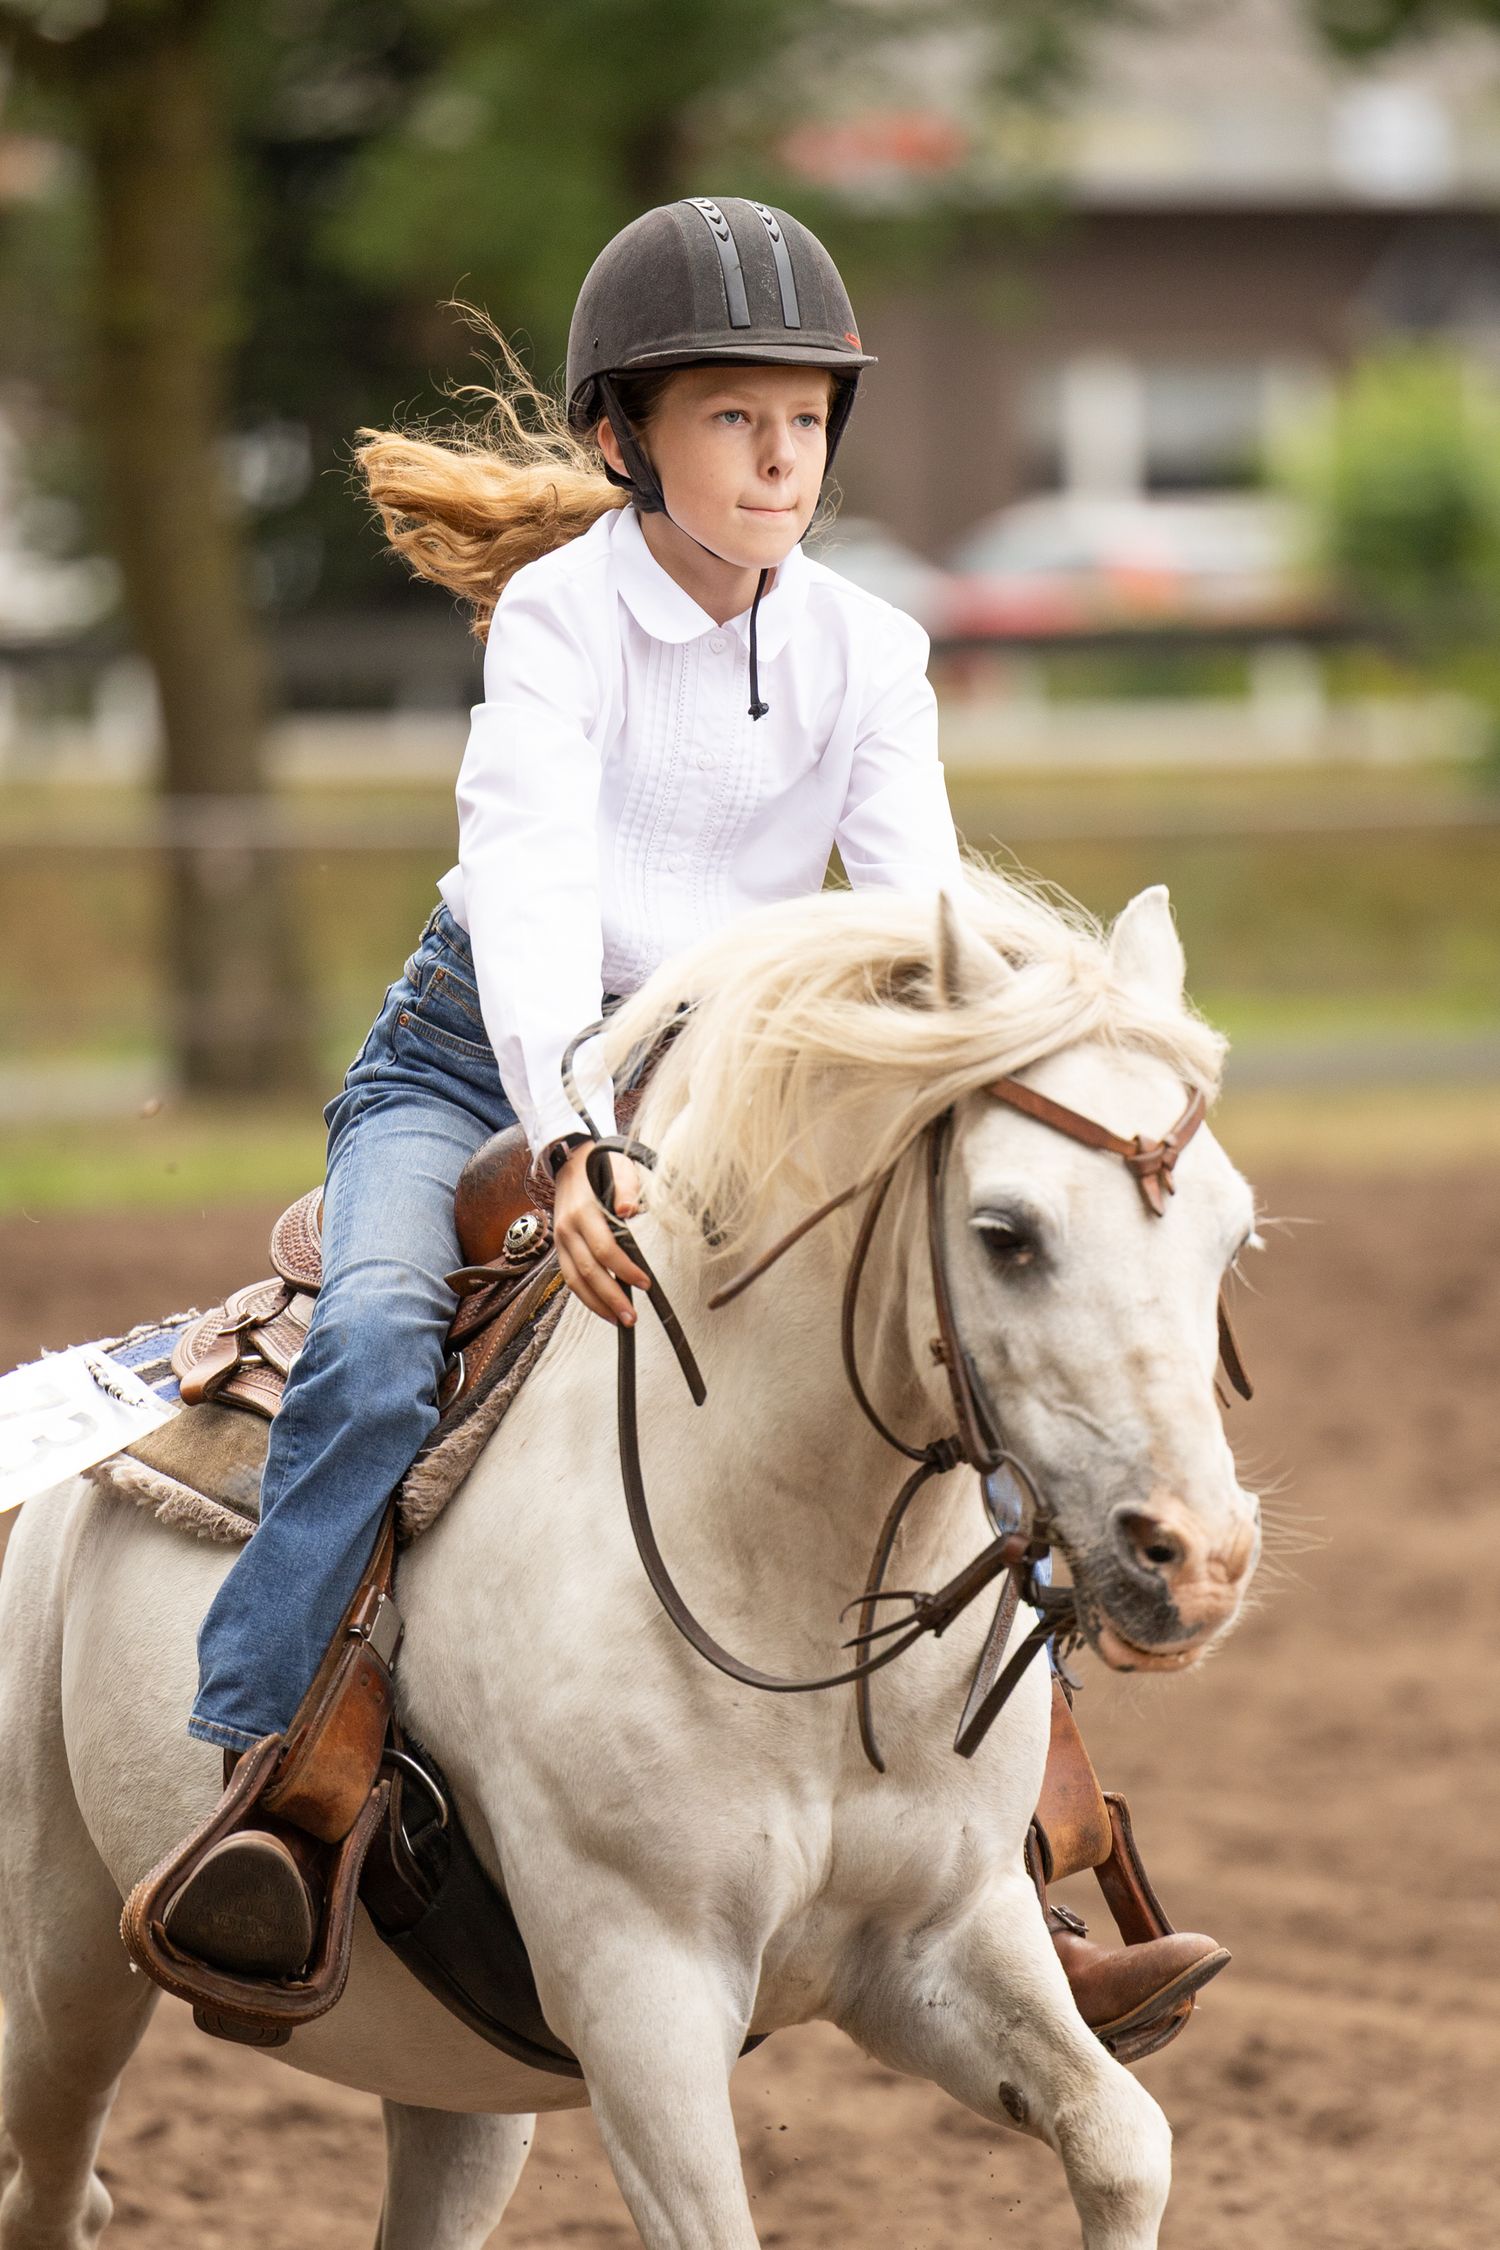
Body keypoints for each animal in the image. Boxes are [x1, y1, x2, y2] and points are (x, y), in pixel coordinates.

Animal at [0, 874, 1262, 2250]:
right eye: (1006, 1232)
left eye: (1234, 1237)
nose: (1198, 1558)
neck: (781, 1591)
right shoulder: (642, 1993)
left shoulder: (946, 1940)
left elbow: (1123, 2141)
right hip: (66, 1969)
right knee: (50, 2187)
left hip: (457, 2092)